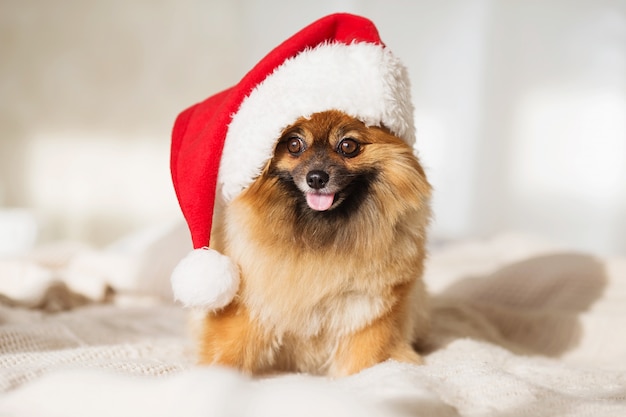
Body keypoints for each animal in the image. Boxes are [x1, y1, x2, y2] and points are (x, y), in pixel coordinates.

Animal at [197, 109, 432, 376]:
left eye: (348, 146)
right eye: (294, 145)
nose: (317, 178)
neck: (318, 238)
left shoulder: (370, 313)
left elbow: (363, 363)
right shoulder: (248, 306)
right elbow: (227, 353)